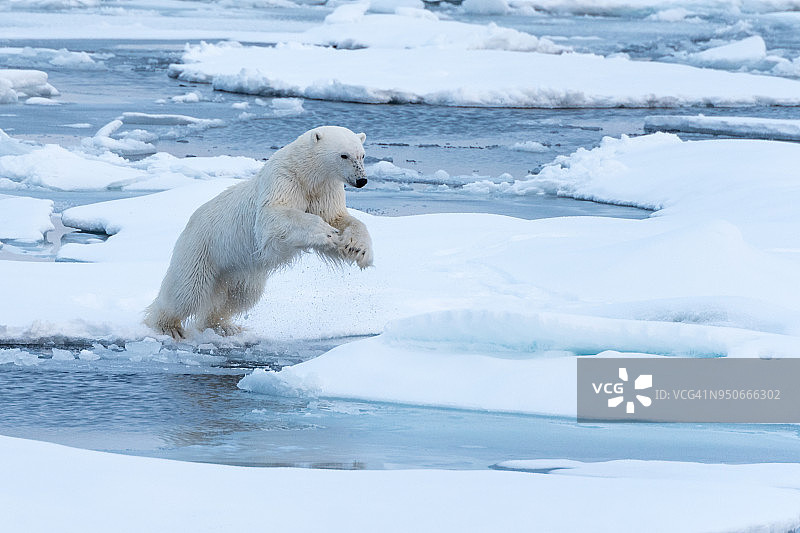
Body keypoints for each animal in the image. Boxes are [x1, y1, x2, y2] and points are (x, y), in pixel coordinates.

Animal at [144, 125, 374, 340]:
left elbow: (338, 218)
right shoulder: (283, 180)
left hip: (239, 270)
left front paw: (358, 248)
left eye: (362, 155)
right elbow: (272, 218)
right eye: (343, 155)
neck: (306, 174)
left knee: (240, 296)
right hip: (202, 249)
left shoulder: (326, 191)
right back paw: (168, 327)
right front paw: (325, 232)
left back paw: (224, 326)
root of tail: (190, 222)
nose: (361, 180)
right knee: (187, 291)